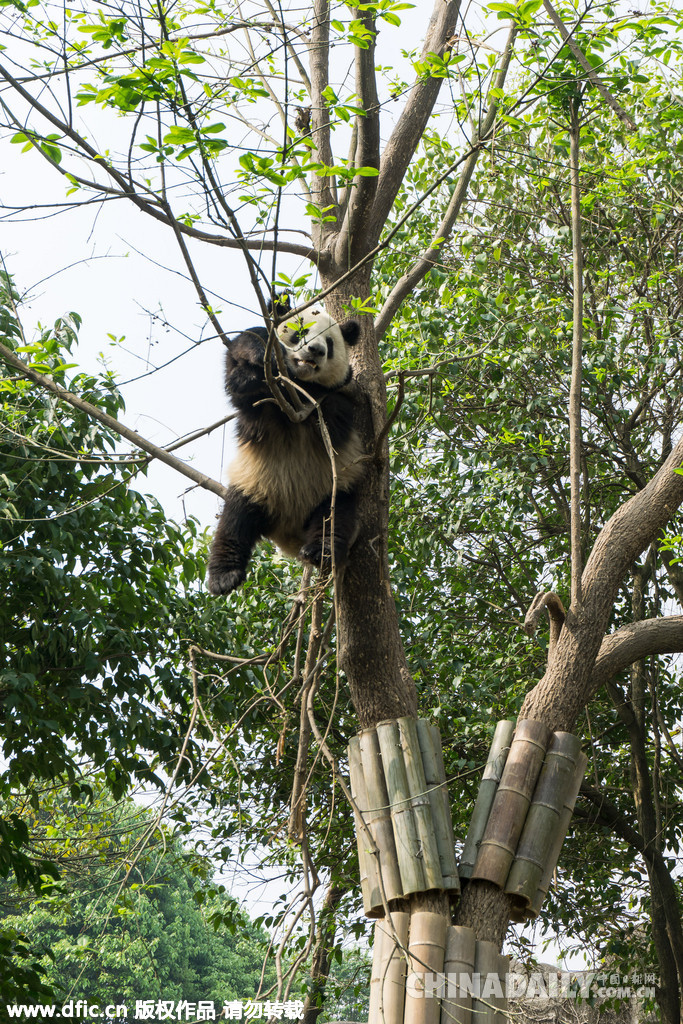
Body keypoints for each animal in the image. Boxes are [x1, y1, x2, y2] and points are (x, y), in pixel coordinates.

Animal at [206, 299, 366, 598]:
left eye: (330, 342)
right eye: (300, 331)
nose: (316, 350)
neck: (298, 381)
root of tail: (288, 532)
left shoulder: (339, 394)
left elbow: (335, 408)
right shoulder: (257, 403)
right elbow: (241, 361)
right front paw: (262, 357)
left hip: (334, 488)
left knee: (334, 519)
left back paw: (319, 551)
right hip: (254, 485)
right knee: (234, 523)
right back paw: (224, 576)